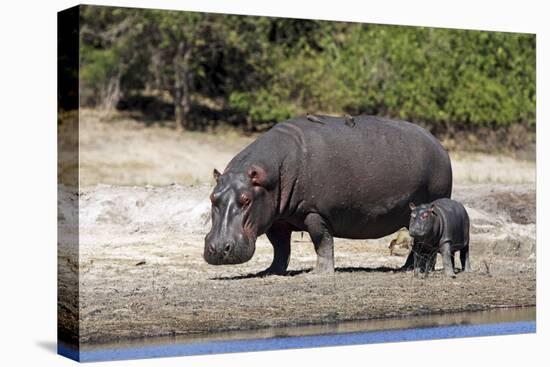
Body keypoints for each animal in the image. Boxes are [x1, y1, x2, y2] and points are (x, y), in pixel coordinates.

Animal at [204, 115, 452, 274]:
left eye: (246, 200)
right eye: (212, 197)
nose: (218, 248)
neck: (270, 177)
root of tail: (439, 144)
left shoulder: (315, 212)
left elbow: (321, 241)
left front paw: (319, 273)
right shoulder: (276, 219)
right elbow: (280, 248)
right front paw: (271, 271)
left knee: (424, 243)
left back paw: (413, 269)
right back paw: (410, 268)